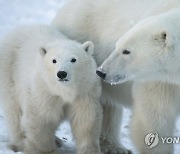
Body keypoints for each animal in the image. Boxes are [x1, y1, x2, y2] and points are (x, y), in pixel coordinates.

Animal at [52, 0, 180, 153]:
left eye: (126, 51)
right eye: (117, 45)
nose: (101, 71)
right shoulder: (160, 81)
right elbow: (156, 115)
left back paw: (114, 146)